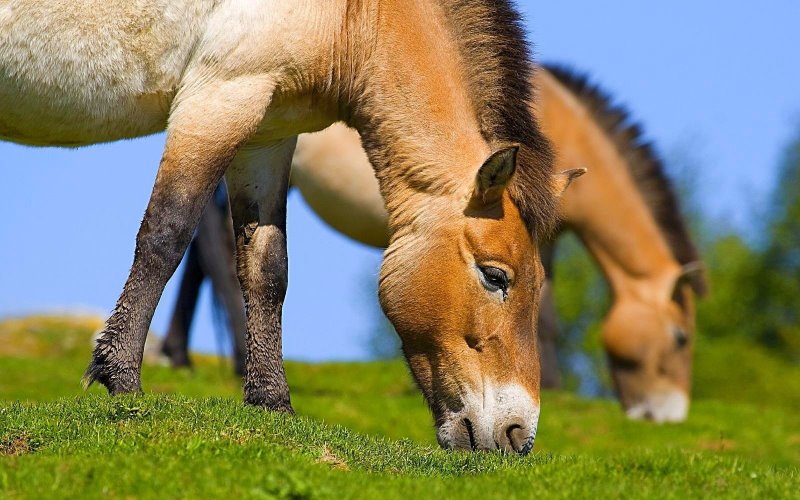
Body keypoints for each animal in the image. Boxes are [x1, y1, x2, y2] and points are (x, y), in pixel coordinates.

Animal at [3, 0, 576, 454]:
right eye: (496, 277)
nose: (518, 435)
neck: (356, 12)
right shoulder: (218, 97)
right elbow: (166, 234)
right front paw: (120, 377)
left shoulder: (266, 131)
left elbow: (267, 269)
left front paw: (272, 403)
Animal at [161, 63, 708, 422]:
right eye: (681, 338)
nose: (669, 415)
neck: (562, 123)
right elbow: (547, 312)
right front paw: (552, 384)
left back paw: (181, 354)